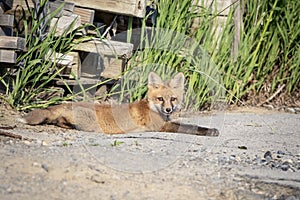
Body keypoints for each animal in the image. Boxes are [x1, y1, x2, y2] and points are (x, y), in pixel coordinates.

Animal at [20, 72, 218, 136]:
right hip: (90, 122)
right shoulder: (162, 127)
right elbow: (191, 127)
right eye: (161, 99)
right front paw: (211, 131)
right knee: (60, 121)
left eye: (173, 99)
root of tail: (64, 104)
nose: (169, 109)